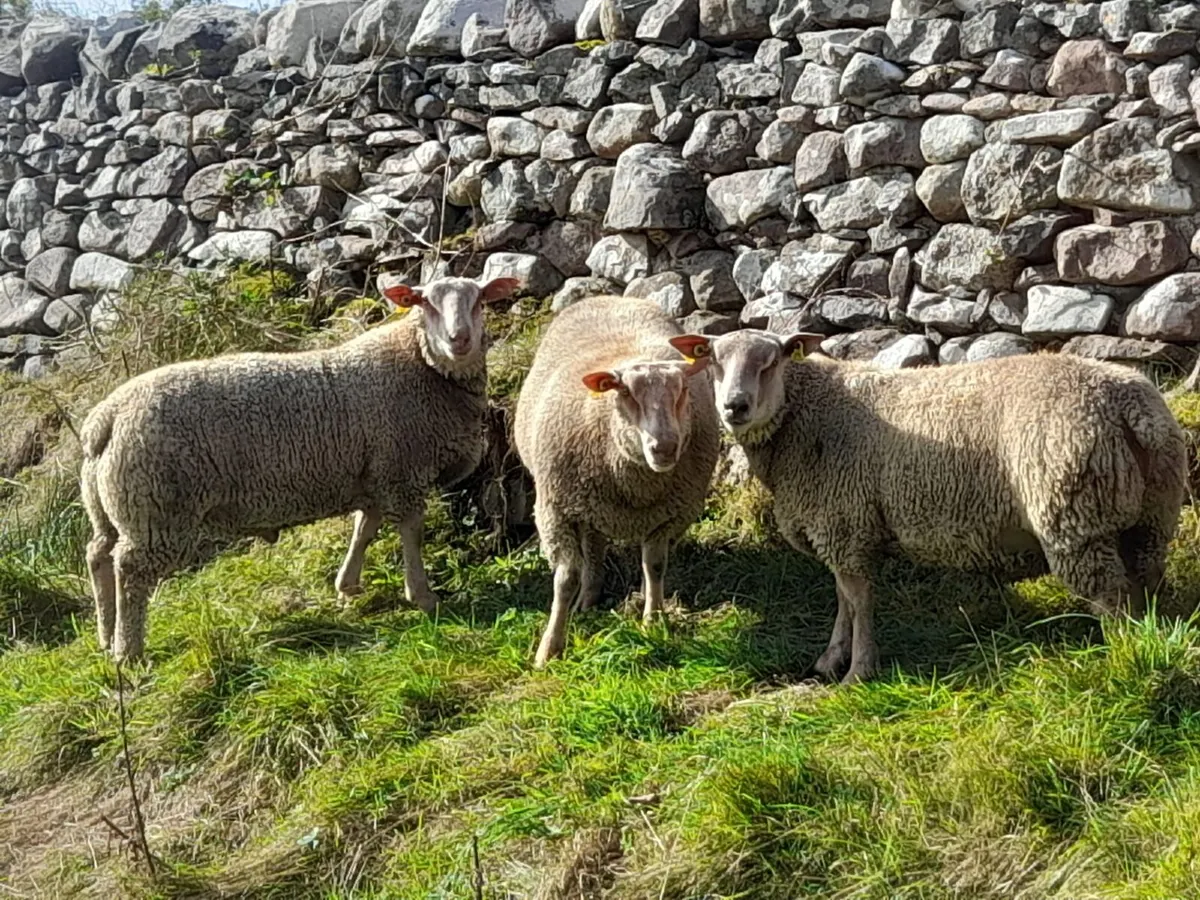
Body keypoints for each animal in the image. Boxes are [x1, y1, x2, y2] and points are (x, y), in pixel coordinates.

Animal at [80, 275, 519, 662]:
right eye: (426, 302)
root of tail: (106, 418)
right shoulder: (402, 471)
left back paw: (105, 634)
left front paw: (347, 586)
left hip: (112, 506)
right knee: (130, 570)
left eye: (478, 301)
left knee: (98, 553)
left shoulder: (375, 473)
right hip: (154, 509)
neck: (422, 364)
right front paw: (423, 597)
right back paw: (129, 651)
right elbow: (410, 532)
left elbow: (365, 528)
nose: (459, 339)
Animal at [514, 296, 721, 667]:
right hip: (583, 503)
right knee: (593, 550)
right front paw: (549, 647)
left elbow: (654, 566)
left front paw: (653, 619)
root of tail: (610, 296)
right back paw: (586, 600)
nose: (664, 447)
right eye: (626, 393)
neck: (636, 486)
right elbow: (565, 579)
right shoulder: (556, 511)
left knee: (605, 549)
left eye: (682, 390)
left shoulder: (670, 515)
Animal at [668, 329, 1189, 685]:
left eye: (771, 360)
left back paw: (1119, 660)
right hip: (1150, 516)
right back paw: (1147, 643)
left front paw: (859, 671)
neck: (804, 418)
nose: (735, 406)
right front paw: (831, 658)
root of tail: (1131, 406)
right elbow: (842, 598)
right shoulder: (842, 527)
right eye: (714, 361)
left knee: (1111, 599)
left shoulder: (844, 522)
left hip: (1076, 517)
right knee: (1145, 584)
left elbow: (858, 599)